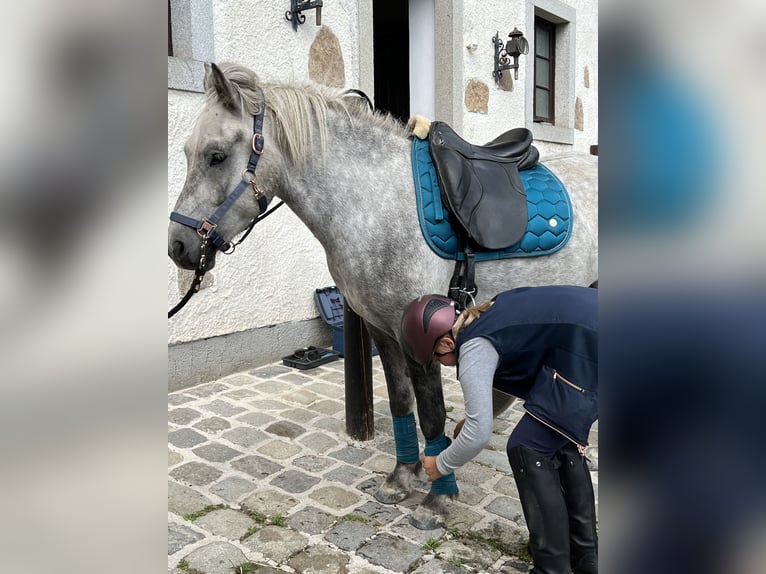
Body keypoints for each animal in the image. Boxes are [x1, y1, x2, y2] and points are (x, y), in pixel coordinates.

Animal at [170, 63, 600, 532]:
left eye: (215, 155)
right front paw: (402, 477)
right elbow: (400, 402)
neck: (373, 204)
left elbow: (431, 412)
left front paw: (437, 497)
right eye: (189, 153)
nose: (178, 246)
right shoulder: (382, 331)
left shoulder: (426, 336)